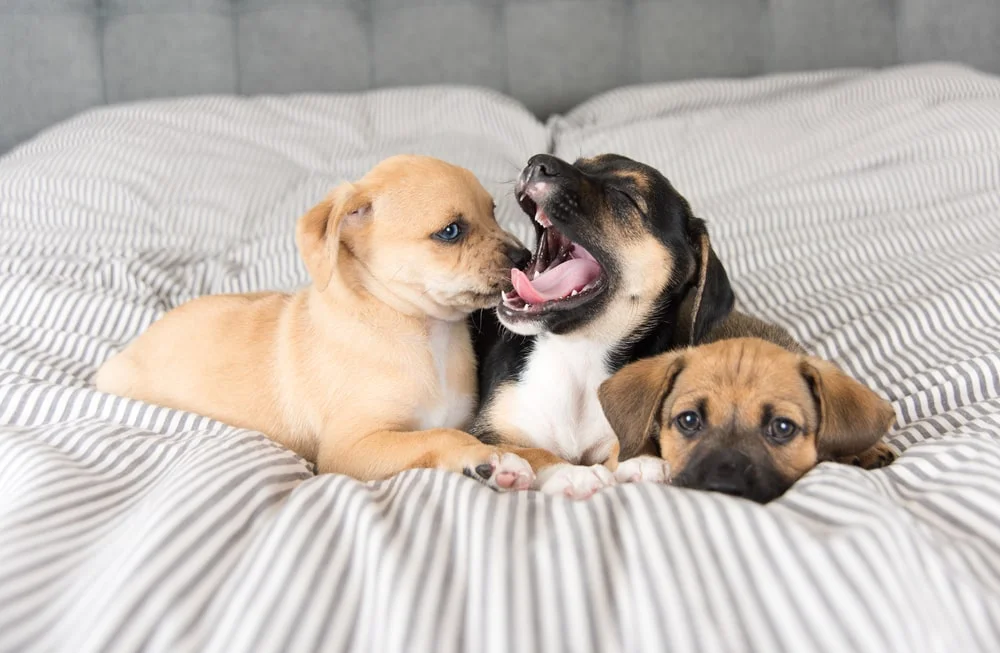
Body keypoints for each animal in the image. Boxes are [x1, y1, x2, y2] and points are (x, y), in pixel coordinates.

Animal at [94, 154, 544, 488]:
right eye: (450, 232)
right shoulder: (351, 448)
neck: (427, 337)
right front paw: (487, 459)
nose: (525, 258)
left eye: (494, 212)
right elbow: (439, 435)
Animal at [468, 153, 736, 496]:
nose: (538, 162)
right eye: (580, 163)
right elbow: (532, 452)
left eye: (625, 196)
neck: (577, 354)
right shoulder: (487, 432)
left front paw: (641, 460)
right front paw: (571, 472)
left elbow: (622, 443)